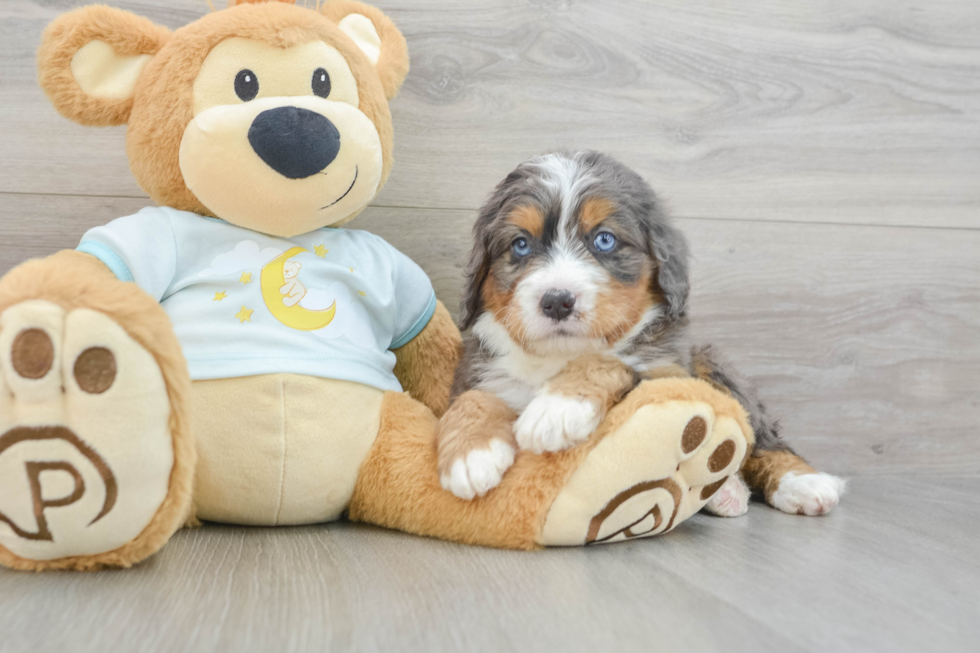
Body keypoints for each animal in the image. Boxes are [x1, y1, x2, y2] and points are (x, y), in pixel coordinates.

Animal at [440, 150, 848, 516]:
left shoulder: (666, 372)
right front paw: (470, 454)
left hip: (710, 361)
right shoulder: (478, 370)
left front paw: (556, 408)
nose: (556, 301)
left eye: (604, 240)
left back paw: (802, 484)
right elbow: (474, 398)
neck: (556, 359)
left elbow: (607, 360)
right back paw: (727, 493)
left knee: (763, 439)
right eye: (521, 244)